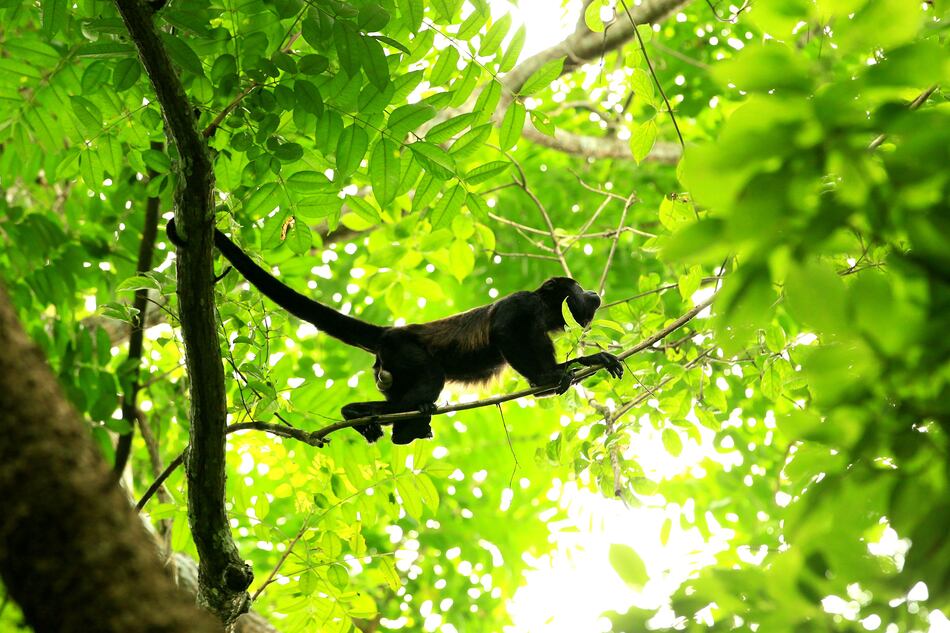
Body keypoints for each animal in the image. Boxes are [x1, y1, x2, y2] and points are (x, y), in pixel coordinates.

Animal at [166, 219, 623, 444]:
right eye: (578, 288)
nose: (593, 293)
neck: (546, 311)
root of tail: (391, 331)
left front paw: (588, 361)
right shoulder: (521, 305)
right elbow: (506, 335)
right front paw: (553, 374)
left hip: (390, 370)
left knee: (402, 399)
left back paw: (386, 423)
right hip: (406, 352)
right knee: (430, 380)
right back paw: (370, 417)